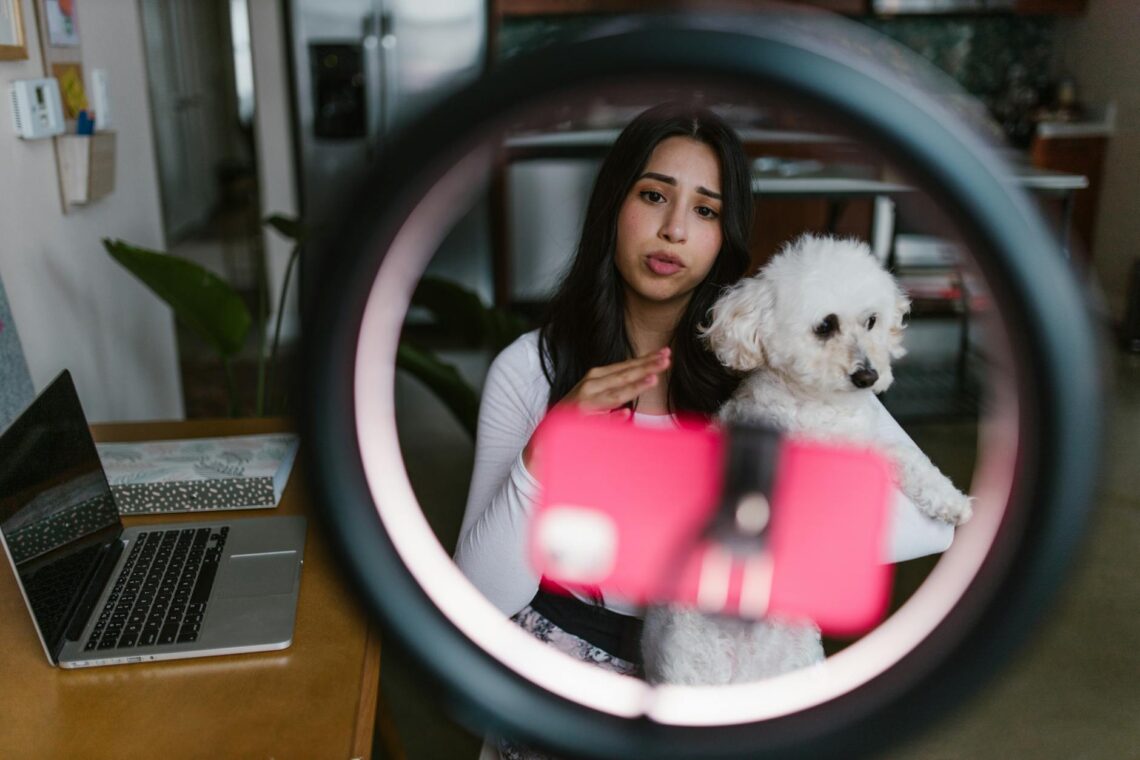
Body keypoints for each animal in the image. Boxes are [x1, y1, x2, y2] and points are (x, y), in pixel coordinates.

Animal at [642, 234, 971, 688]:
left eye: (871, 321)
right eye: (825, 326)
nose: (868, 376)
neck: (819, 406)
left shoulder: (869, 442)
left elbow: (904, 454)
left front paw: (950, 500)